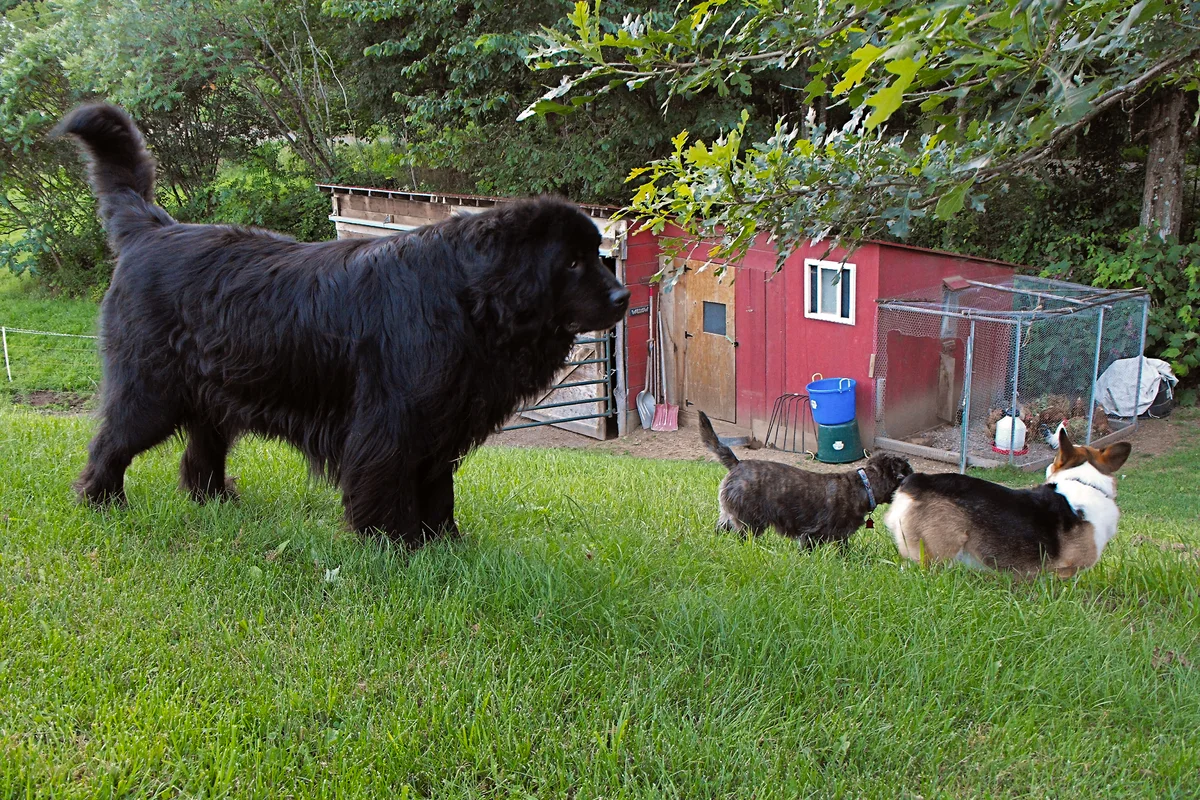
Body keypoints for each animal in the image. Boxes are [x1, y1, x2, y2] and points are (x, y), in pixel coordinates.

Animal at [60, 103, 633, 546]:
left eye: (597, 255)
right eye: (573, 262)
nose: (624, 296)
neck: (465, 297)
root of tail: (152, 230)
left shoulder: (439, 420)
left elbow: (437, 489)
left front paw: (445, 544)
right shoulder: (391, 421)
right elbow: (389, 483)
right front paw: (395, 545)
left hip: (215, 391)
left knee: (202, 453)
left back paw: (218, 502)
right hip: (152, 389)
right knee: (112, 442)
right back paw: (103, 501)